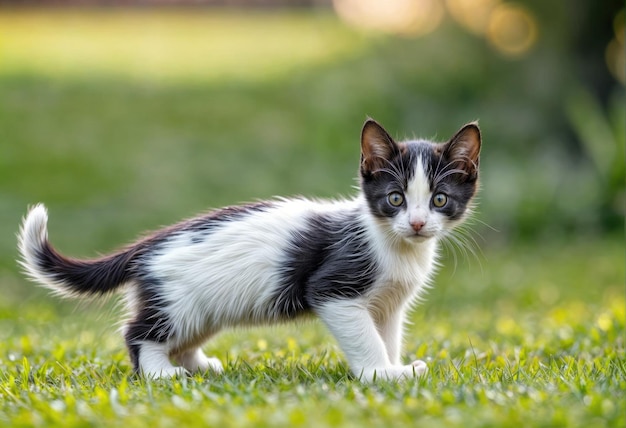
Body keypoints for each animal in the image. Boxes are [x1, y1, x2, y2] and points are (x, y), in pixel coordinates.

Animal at [18, 118, 478, 382]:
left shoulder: (389, 304)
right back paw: (161, 373)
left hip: (202, 308)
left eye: (439, 200)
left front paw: (397, 368)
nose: (416, 224)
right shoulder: (335, 289)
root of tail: (148, 244)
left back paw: (198, 365)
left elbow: (387, 333)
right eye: (395, 198)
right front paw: (380, 374)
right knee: (138, 333)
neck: (393, 245)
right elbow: (363, 335)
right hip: (177, 302)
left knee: (180, 334)